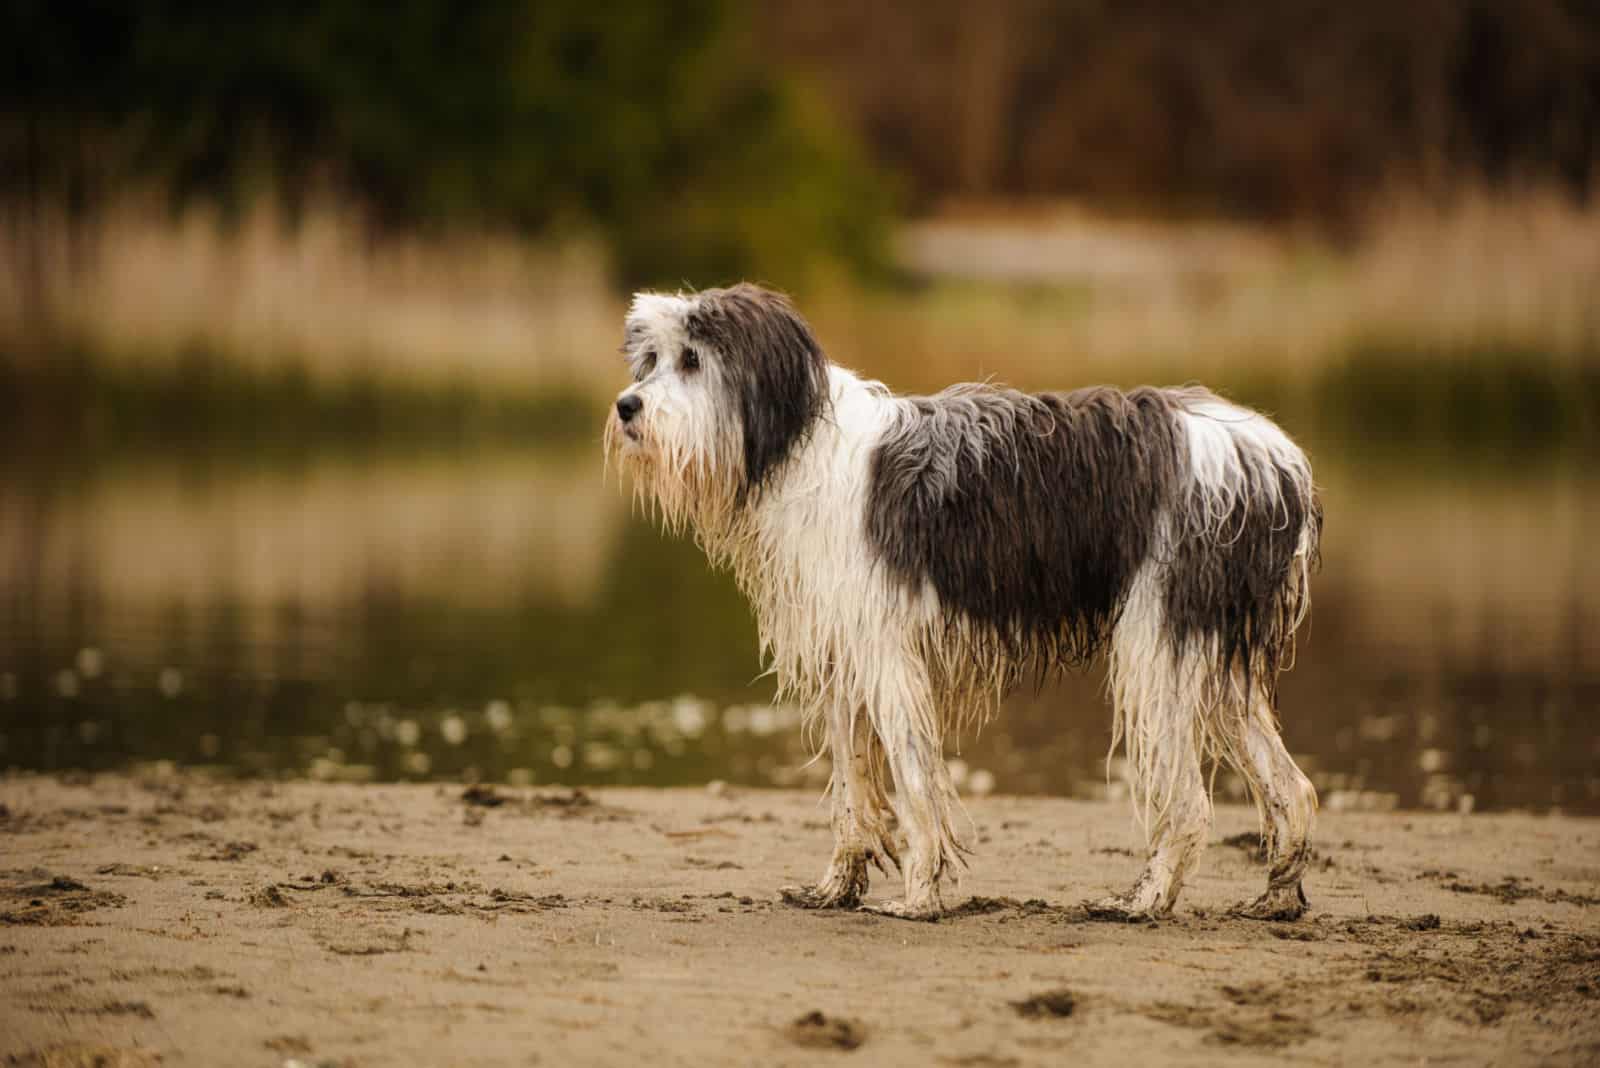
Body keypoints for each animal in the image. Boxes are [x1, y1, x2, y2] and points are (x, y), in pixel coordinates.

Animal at [604, 281, 1318, 920]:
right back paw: (1277, 896)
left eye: (693, 359)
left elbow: (916, 780)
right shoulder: (845, 657)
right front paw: (837, 888)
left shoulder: (888, 654)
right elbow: (852, 791)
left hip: (1160, 645)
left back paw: (1145, 901)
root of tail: (1277, 459)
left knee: (1191, 801)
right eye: (650, 359)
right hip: (1217, 658)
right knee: (1293, 788)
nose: (626, 405)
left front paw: (920, 894)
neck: (801, 447)